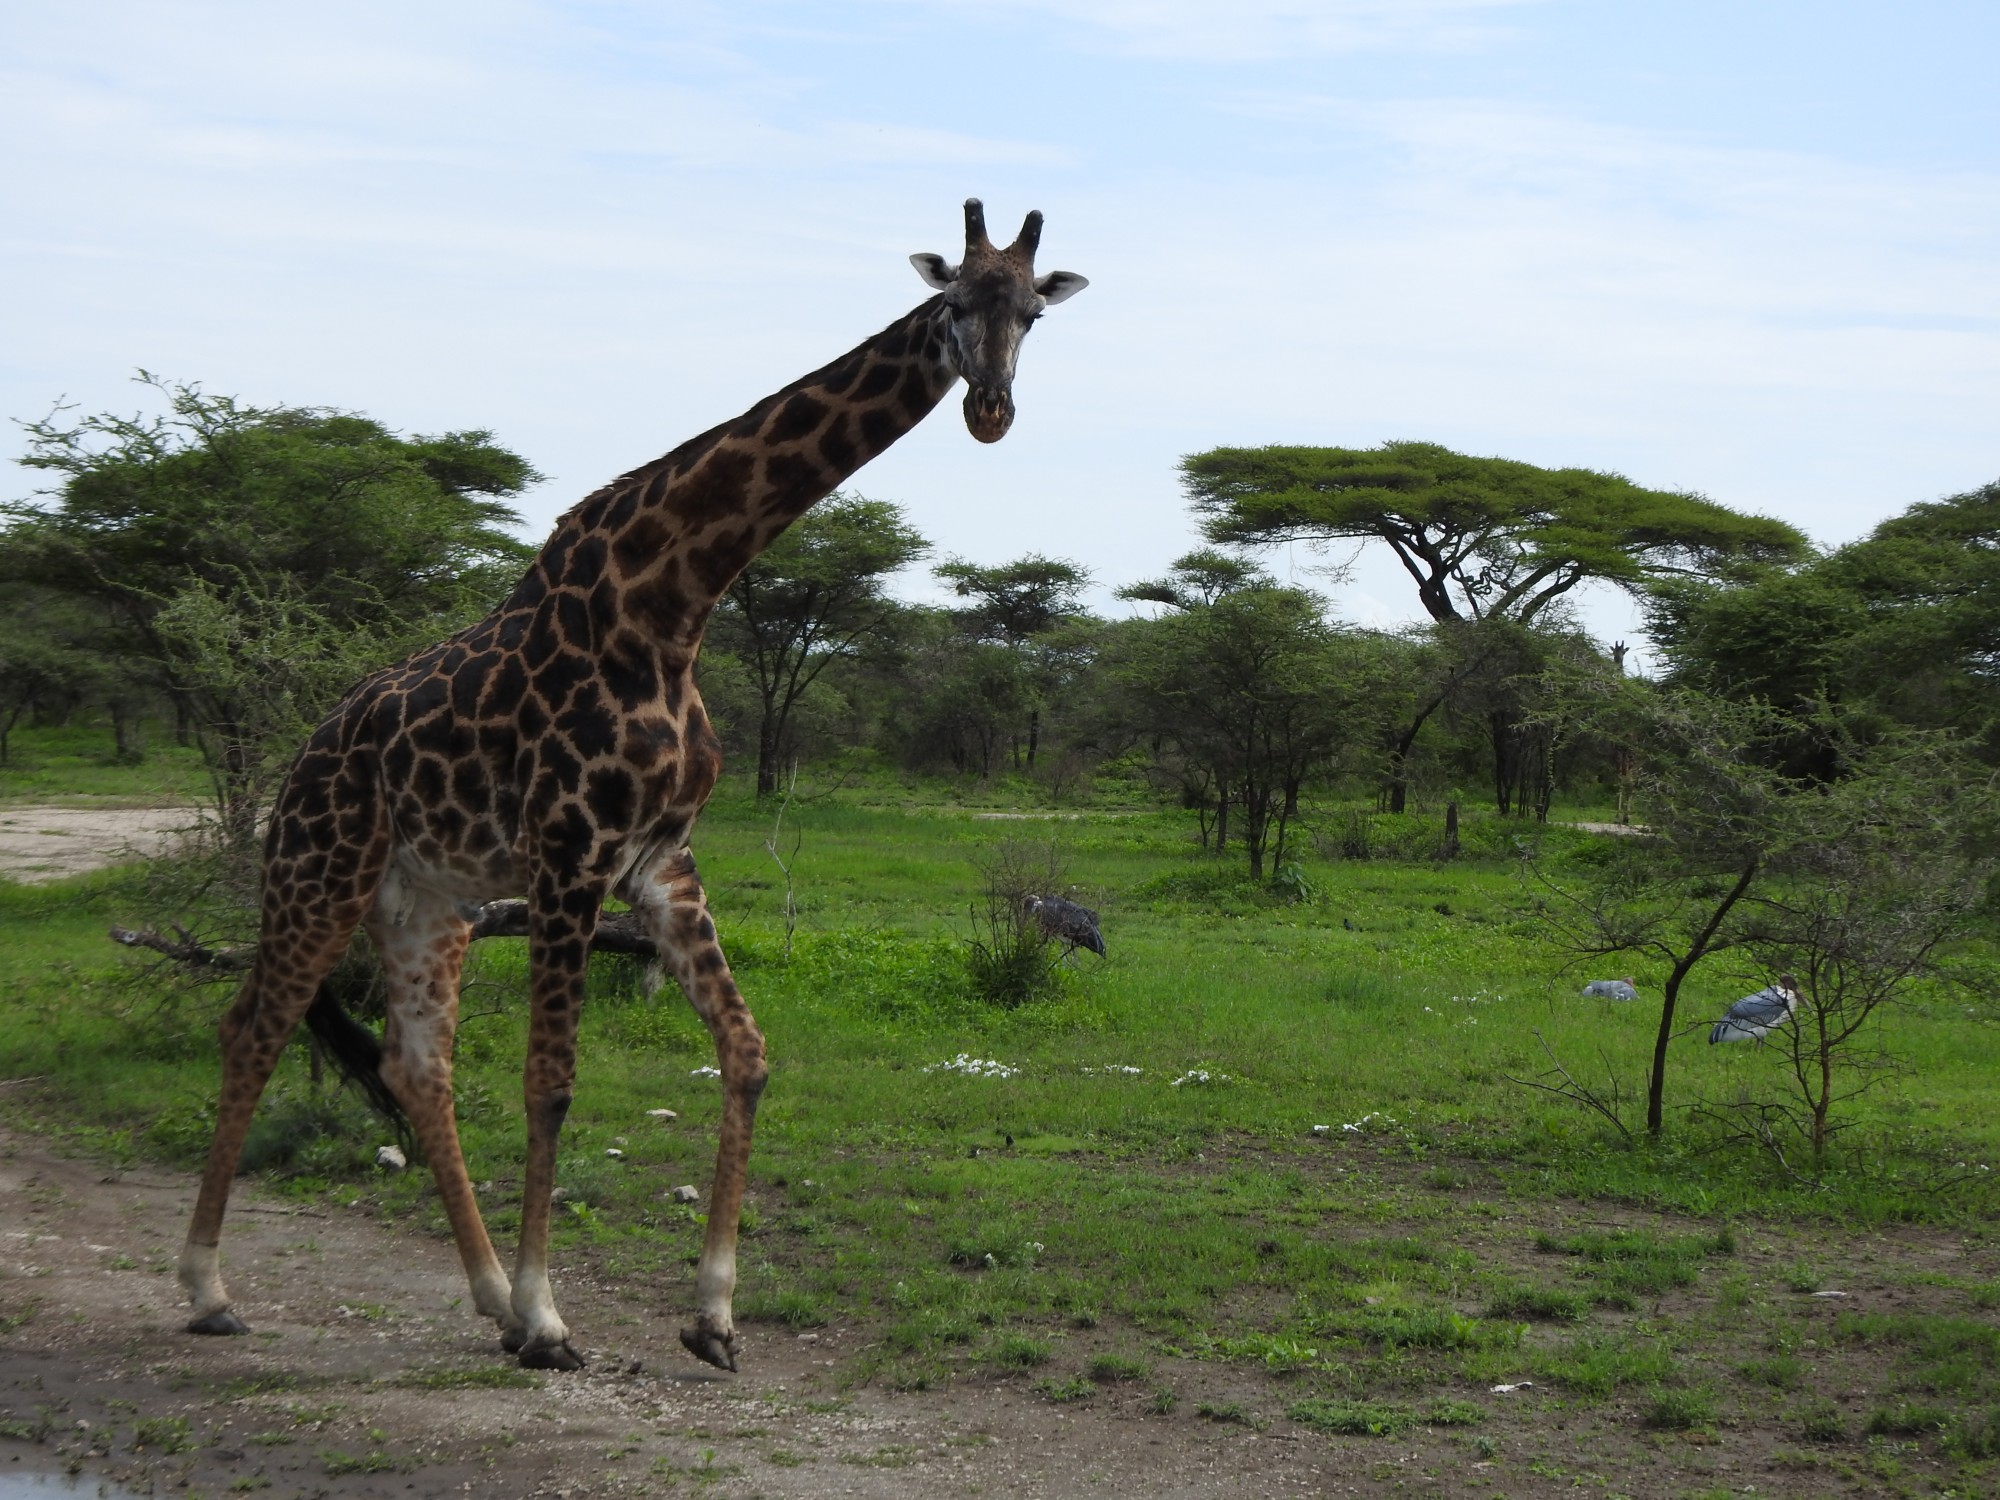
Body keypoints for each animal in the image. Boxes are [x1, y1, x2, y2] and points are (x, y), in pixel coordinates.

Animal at [178, 200, 1088, 1376]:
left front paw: (711, 1317)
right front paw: (550, 1321)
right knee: (252, 1027)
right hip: (319, 870)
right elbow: (552, 1081)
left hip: (428, 903)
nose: (990, 410)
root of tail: (304, 756)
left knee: (417, 1066)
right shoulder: (570, 852)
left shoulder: (658, 859)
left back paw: (481, 1296)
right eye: (952, 305)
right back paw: (210, 1290)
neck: (676, 600)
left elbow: (745, 1053)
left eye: (1031, 313)